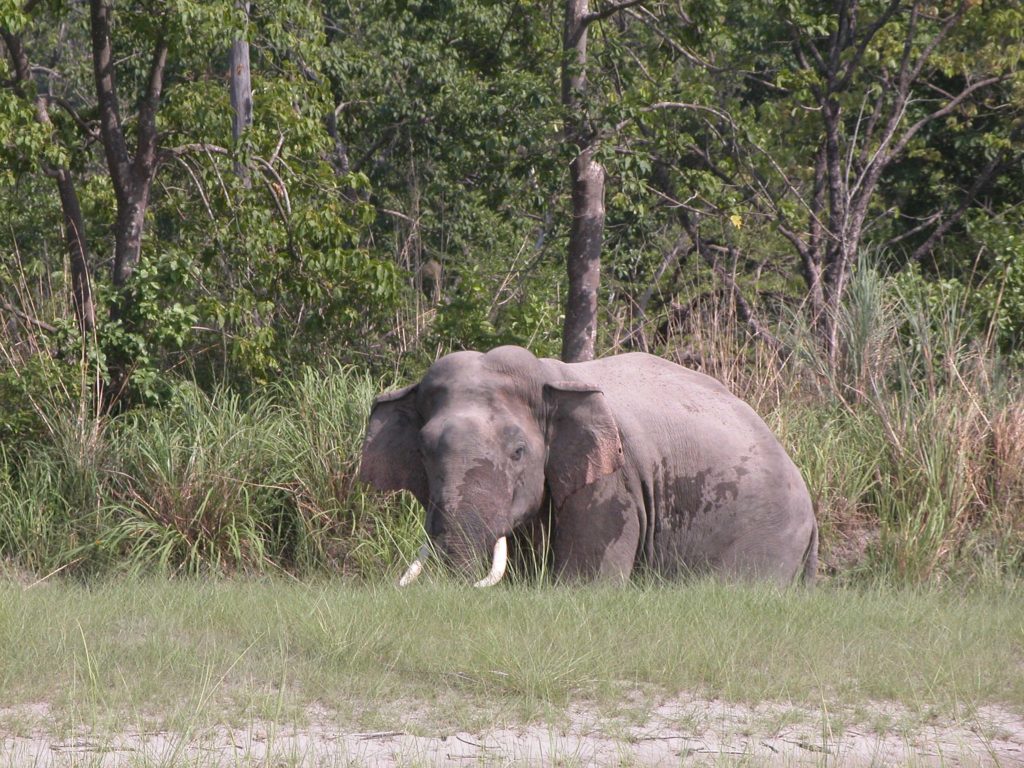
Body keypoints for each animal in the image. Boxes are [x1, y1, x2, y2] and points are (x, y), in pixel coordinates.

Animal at [358, 346, 815, 585]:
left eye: (518, 452)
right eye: (423, 451)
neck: (549, 376)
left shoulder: (614, 486)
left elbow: (586, 583)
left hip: (764, 534)